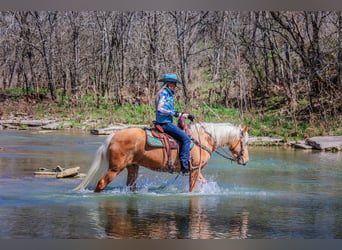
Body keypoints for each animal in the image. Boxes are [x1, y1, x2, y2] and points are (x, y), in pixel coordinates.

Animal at [73, 120, 248, 191]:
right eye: (245, 142)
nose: (246, 161)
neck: (202, 139)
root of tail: (113, 135)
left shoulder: (197, 170)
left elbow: (203, 182)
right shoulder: (194, 169)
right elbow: (192, 189)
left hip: (133, 167)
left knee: (131, 186)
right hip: (115, 168)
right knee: (101, 183)